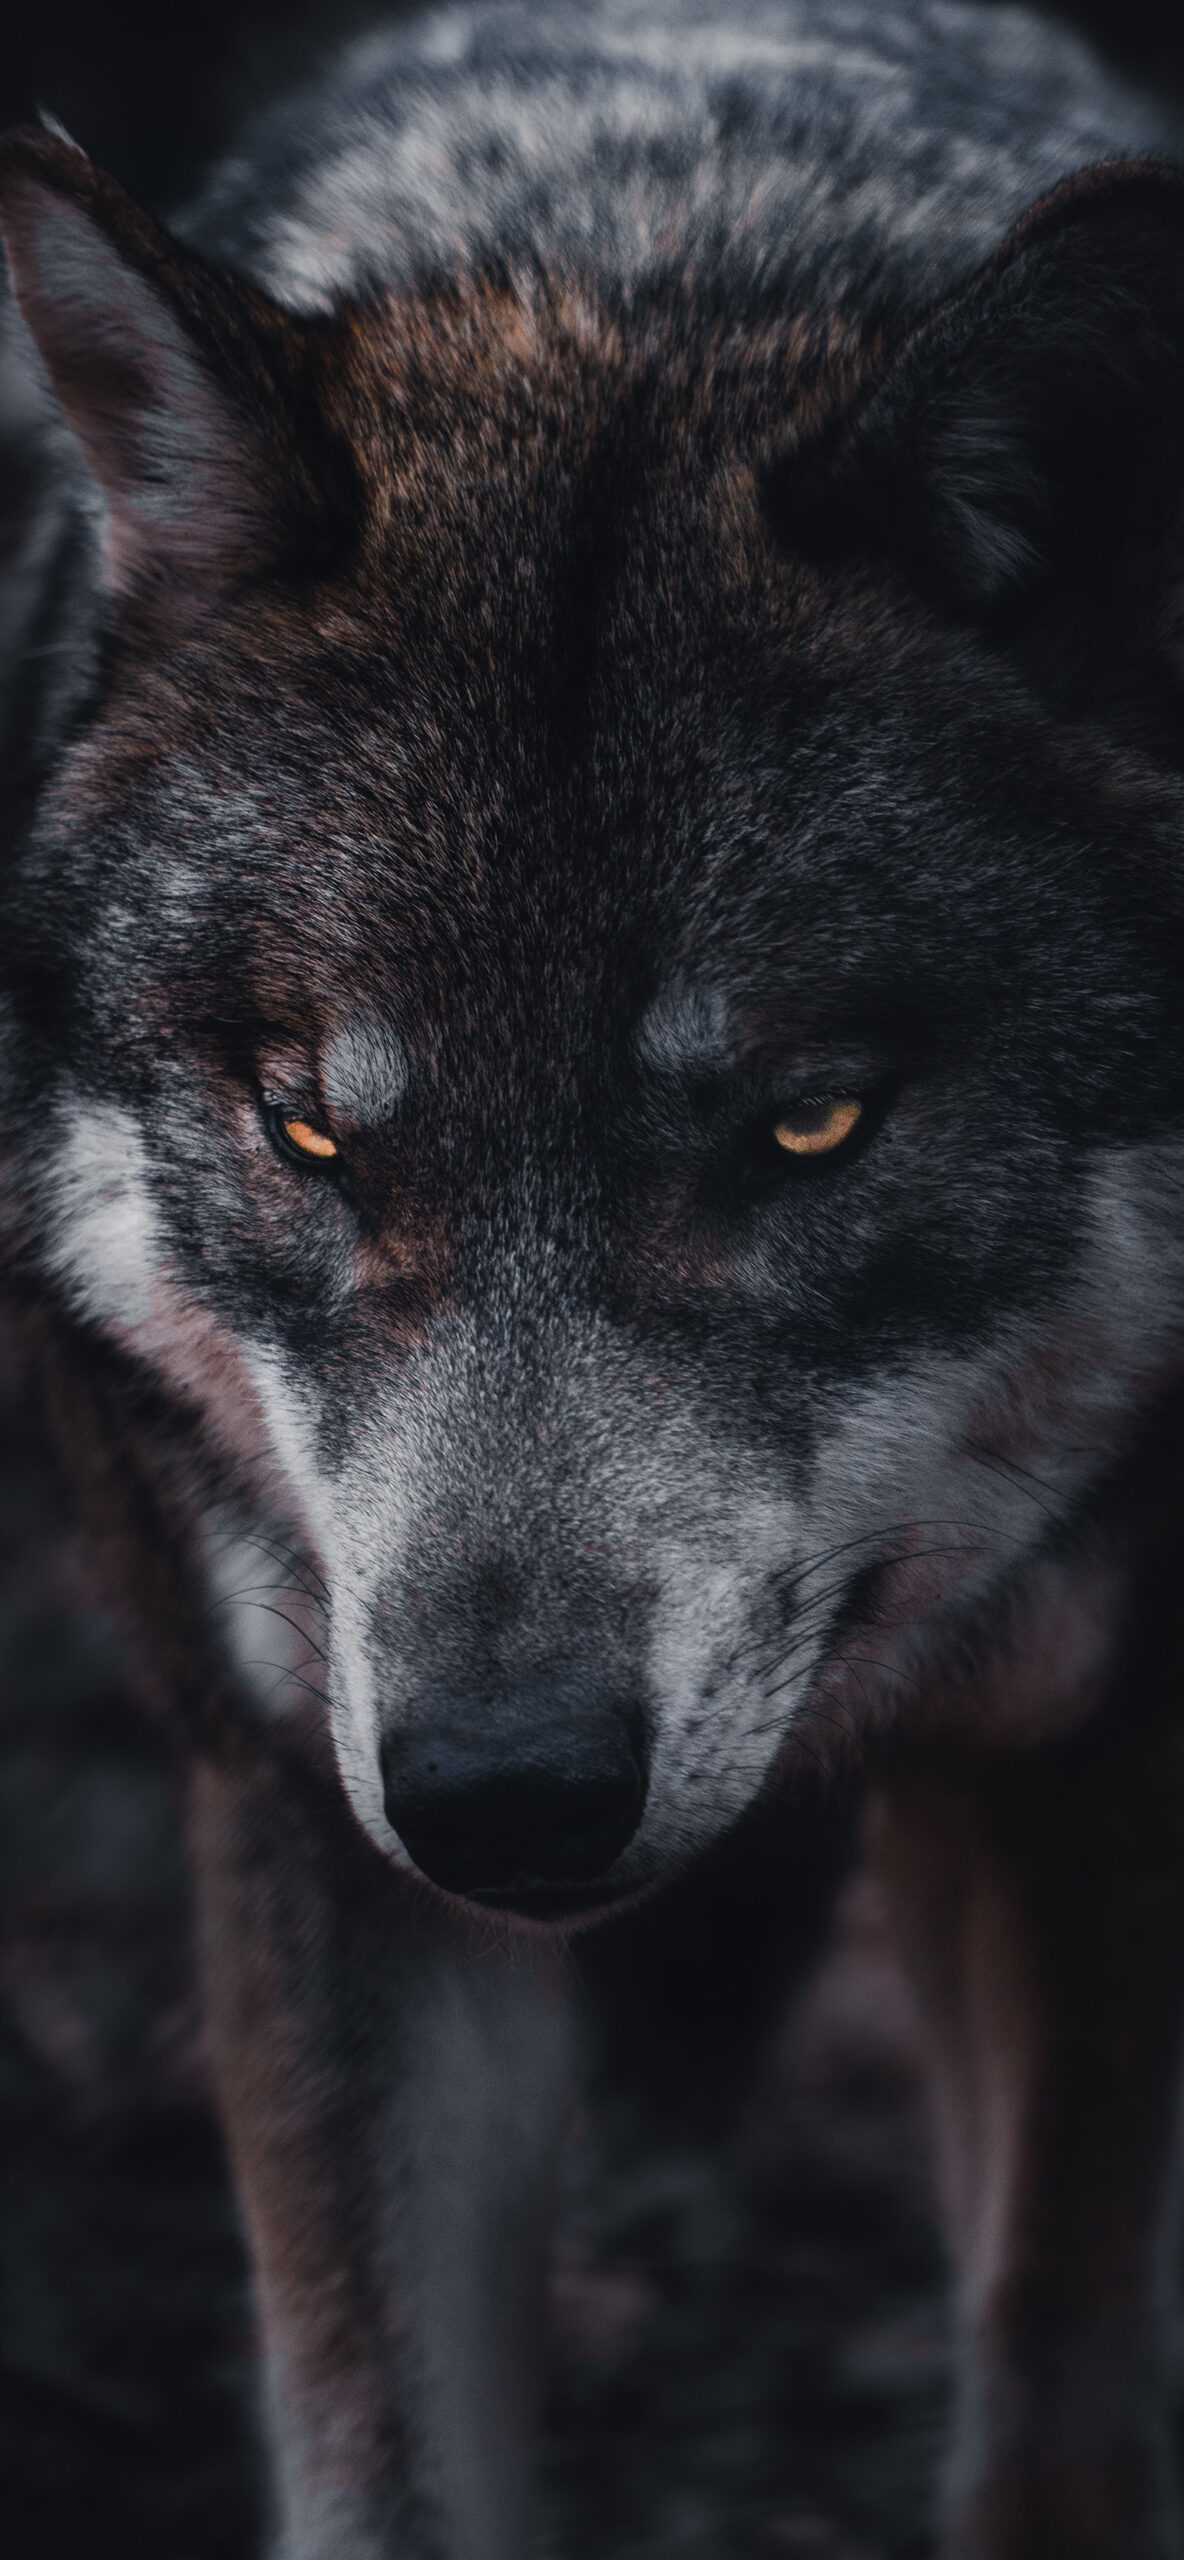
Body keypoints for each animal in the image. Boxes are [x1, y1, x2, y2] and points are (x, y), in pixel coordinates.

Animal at [3, 1, 1184, 2551]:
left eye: (808, 1123)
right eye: (310, 1127)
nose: (504, 1788)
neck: (652, 253)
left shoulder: (1101, 1755)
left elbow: (1055, 2379)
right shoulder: (304, 1802)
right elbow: (384, 2449)